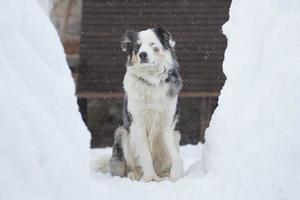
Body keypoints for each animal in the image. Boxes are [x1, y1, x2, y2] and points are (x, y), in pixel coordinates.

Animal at [108, 27, 183, 182]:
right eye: (137, 46)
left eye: (152, 45)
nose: (143, 54)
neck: (151, 80)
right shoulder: (137, 124)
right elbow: (145, 155)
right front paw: (150, 178)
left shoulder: (167, 125)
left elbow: (175, 155)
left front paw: (176, 174)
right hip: (123, 133)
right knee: (130, 166)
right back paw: (135, 174)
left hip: (176, 135)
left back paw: (164, 175)